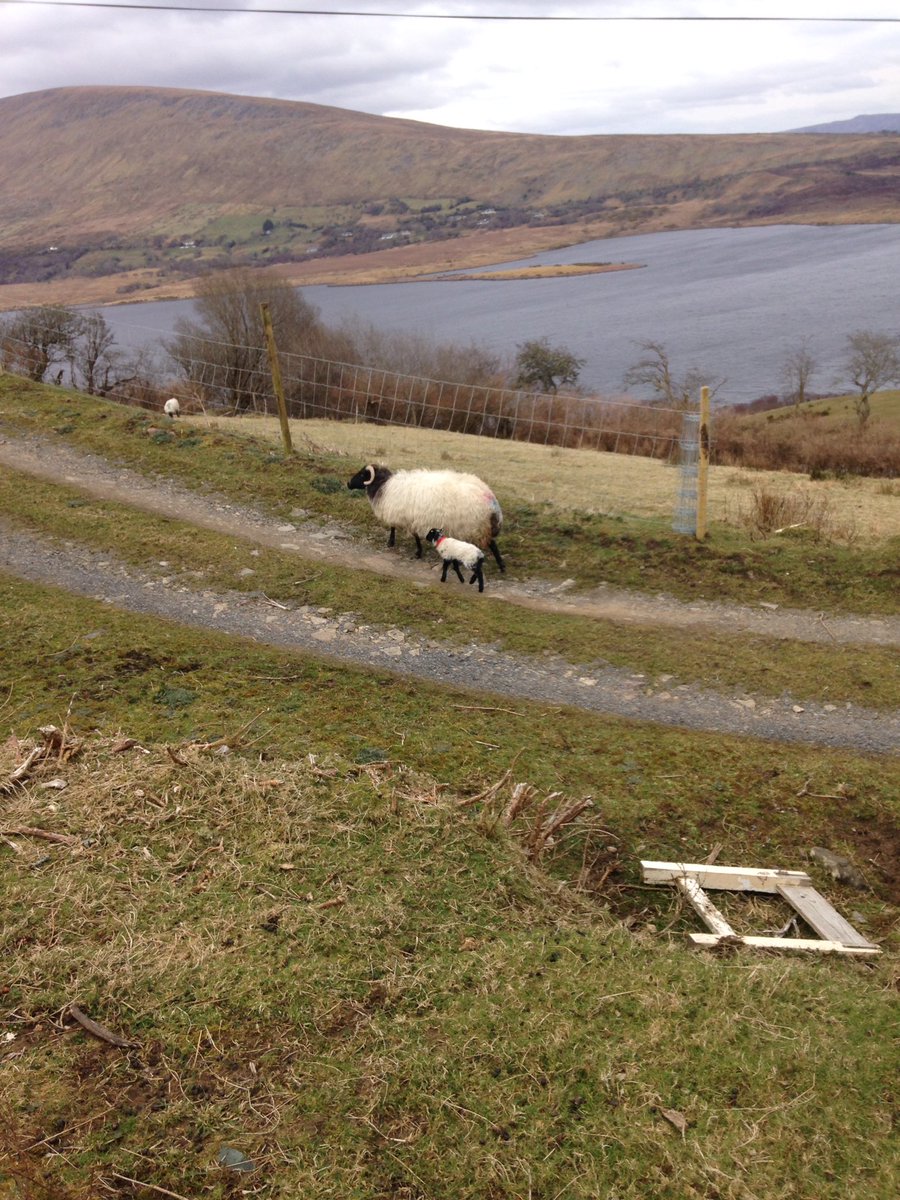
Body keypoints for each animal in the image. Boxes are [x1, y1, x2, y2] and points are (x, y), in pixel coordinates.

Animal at [348, 460, 508, 568]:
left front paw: (396, 544)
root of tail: (490, 498)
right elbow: (412, 534)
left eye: (362, 474)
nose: (349, 484)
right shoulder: (410, 518)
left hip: (476, 525)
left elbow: (398, 529)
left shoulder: (402, 515)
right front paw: (416, 551)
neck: (384, 486)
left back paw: (501, 566)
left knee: (492, 543)